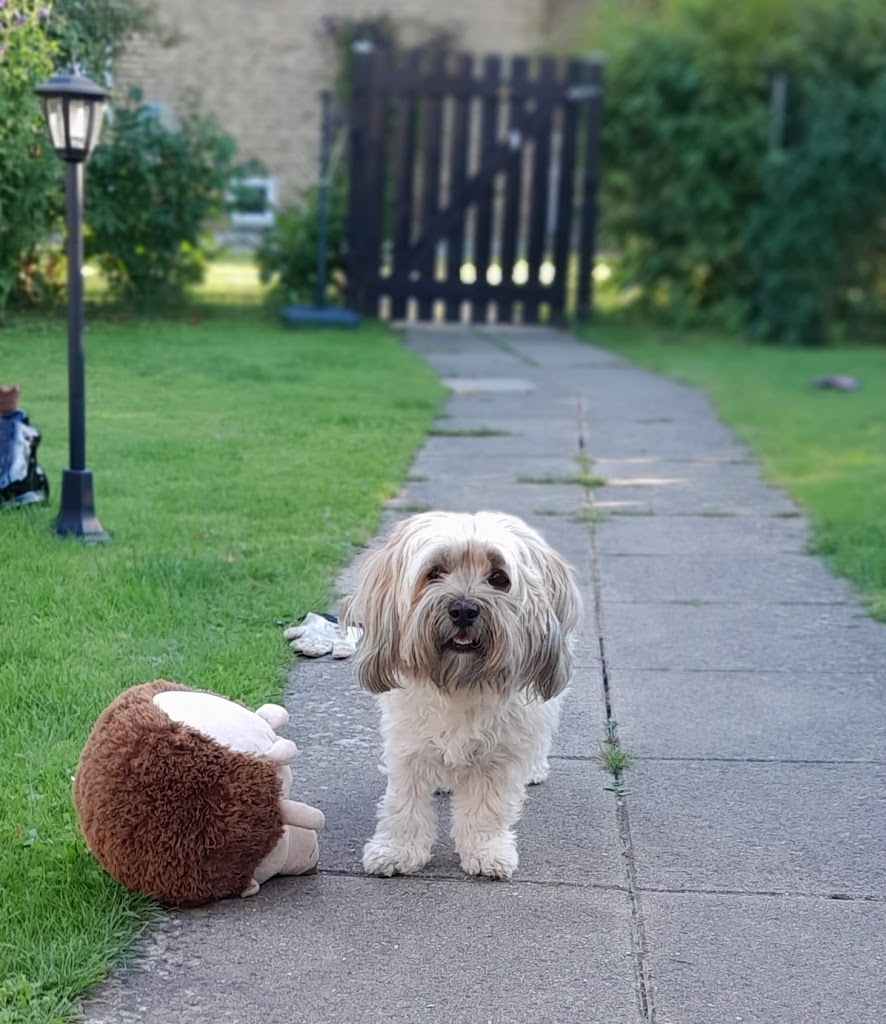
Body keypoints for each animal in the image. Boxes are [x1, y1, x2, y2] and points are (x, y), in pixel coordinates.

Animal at [342, 512, 585, 880]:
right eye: (434, 572)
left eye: (499, 578)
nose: (464, 610)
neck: (460, 680)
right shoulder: (407, 742)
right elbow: (405, 802)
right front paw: (398, 849)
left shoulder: (501, 751)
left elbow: (488, 806)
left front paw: (486, 851)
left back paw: (533, 768)